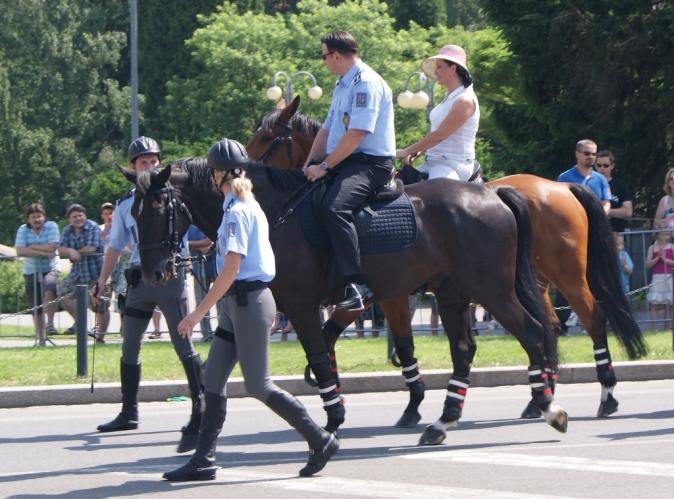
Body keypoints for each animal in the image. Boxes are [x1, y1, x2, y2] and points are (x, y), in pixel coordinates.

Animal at [122, 156, 568, 446]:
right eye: (134, 213)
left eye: (158, 207)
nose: (154, 272)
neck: (273, 212)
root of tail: (494, 194)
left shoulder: (301, 305)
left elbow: (320, 356)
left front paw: (333, 419)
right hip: (453, 294)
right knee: (465, 349)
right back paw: (445, 421)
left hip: (491, 290)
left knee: (533, 332)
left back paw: (546, 406)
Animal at [247, 96, 644, 426]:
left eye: (266, 136)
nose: (240, 164)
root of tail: (561, 186)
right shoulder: (387, 296)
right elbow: (396, 345)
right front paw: (407, 404)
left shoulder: (369, 296)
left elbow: (339, 337)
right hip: (532, 282)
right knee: (548, 327)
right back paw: (539, 398)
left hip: (563, 275)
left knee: (589, 318)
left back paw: (604, 394)